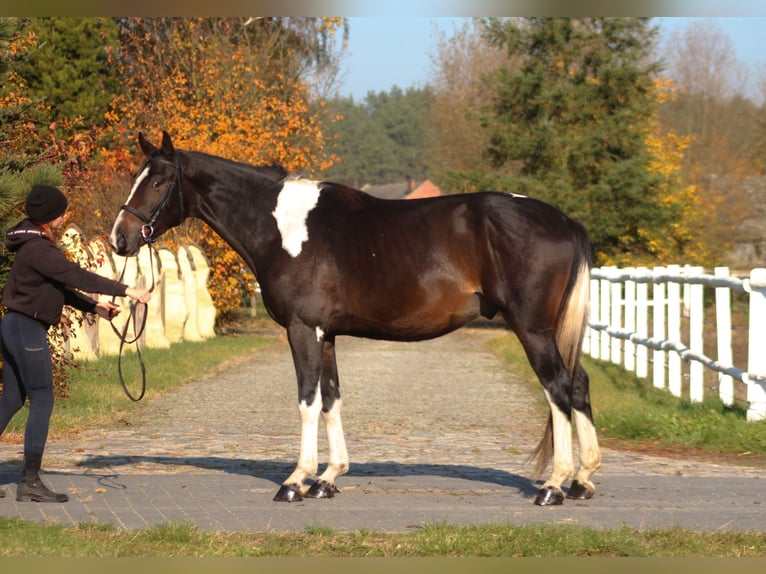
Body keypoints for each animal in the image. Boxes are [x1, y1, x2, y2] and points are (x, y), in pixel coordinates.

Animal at [109, 132, 600, 508]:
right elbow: (332, 399)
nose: (120, 238)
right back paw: (582, 479)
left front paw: (296, 481)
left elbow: (307, 400)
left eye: (157, 181)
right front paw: (328, 478)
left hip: (533, 329)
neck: (284, 228)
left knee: (557, 388)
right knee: (577, 384)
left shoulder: (303, 329)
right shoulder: (326, 334)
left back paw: (554, 486)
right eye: (136, 178)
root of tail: (563, 220)